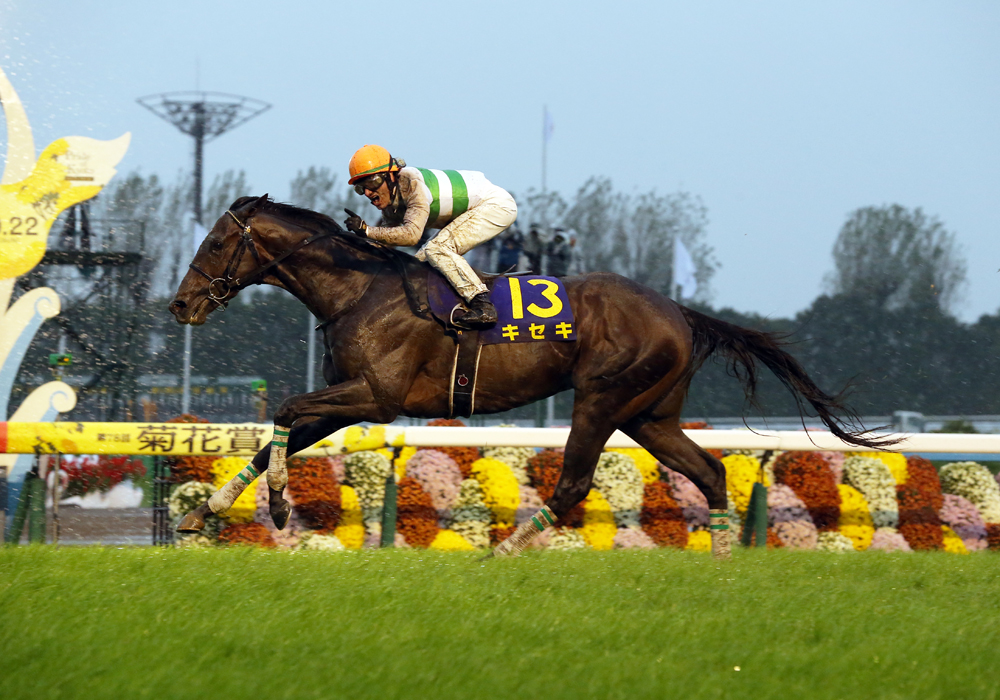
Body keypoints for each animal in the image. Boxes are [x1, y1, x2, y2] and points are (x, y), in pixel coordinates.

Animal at [170, 194, 892, 560]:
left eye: (213, 243)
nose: (180, 305)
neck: (358, 290)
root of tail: (678, 311)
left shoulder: (377, 397)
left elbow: (286, 411)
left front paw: (280, 508)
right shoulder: (350, 401)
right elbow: (280, 435)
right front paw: (203, 513)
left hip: (602, 399)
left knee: (573, 482)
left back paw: (500, 553)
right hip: (649, 414)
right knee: (710, 472)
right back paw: (718, 562)